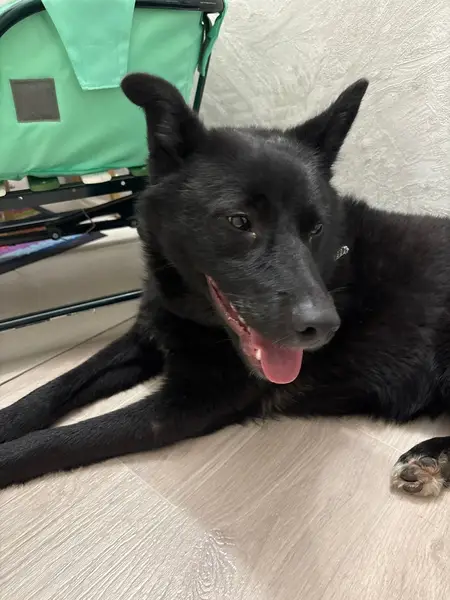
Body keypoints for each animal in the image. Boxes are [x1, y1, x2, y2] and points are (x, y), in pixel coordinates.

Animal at [1, 74, 449, 497]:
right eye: (239, 221)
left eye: (316, 228)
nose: (324, 326)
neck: (193, 312)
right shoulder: (143, 340)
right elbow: (53, 388)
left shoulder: (186, 405)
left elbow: (58, 440)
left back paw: (430, 459)